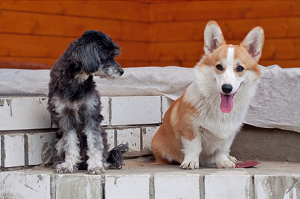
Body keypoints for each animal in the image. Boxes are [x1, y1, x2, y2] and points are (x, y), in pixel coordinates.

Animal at [47, 29, 126, 174]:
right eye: (106, 57)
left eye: (113, 55)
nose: (122, 71)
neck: (76, 82)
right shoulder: (65, 116)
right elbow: (70, 143)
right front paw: (68, 165)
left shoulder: (91, 113)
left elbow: (94, 143)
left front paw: (95, 166)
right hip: (58, 140)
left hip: (103, 135)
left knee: (103, 150)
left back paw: (103, 163)